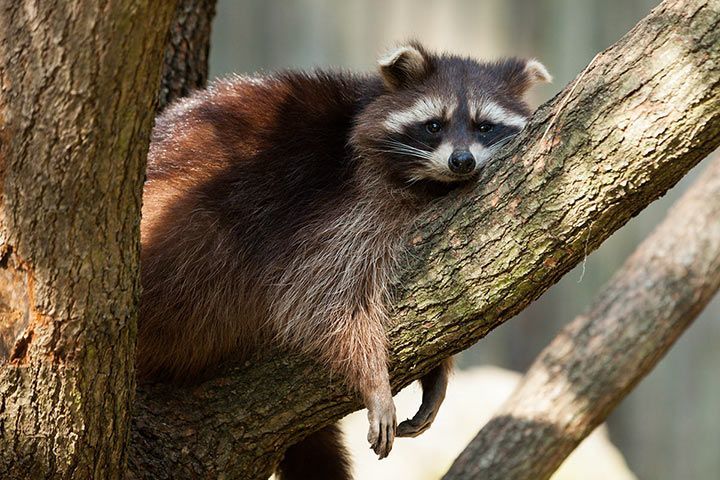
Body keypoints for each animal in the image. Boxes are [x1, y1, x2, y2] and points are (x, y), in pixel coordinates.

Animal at [138, 42, 548, 480]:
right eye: (433, 125)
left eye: (485, 126)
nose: (462, 161)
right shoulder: (342, 205)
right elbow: (319, 301)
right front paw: (374, 378)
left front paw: (437, 372)